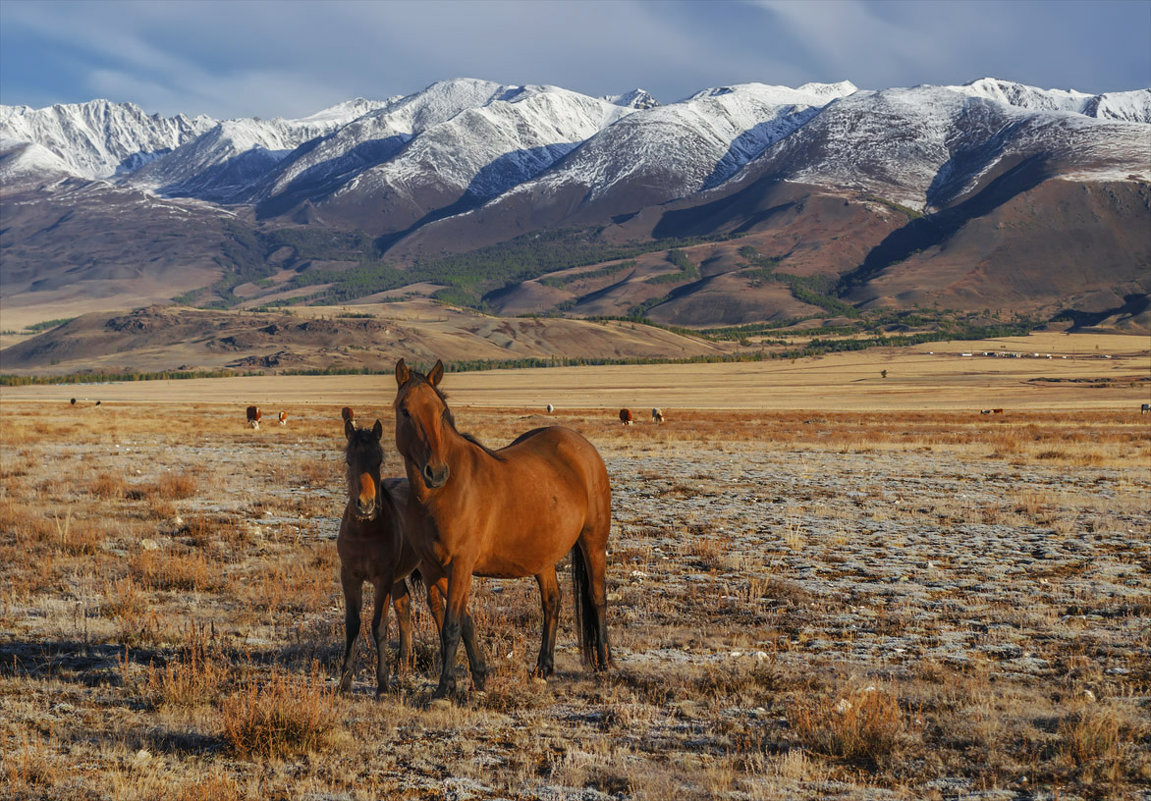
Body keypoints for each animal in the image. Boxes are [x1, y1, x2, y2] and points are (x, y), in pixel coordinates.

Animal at [393, 359, 612, 699]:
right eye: (405, 411)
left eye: (440, 412)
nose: (436, 472)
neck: (444, 494)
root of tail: (583, 447)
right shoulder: (432, 569)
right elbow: (459, 621)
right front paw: (478, 677)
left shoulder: (461, 565)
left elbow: (452, 625)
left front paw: (445, 687)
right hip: (542, 555)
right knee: (552, 600)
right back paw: (543, 668)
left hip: (593, 542)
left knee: (597, 596)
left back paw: (602, 664)